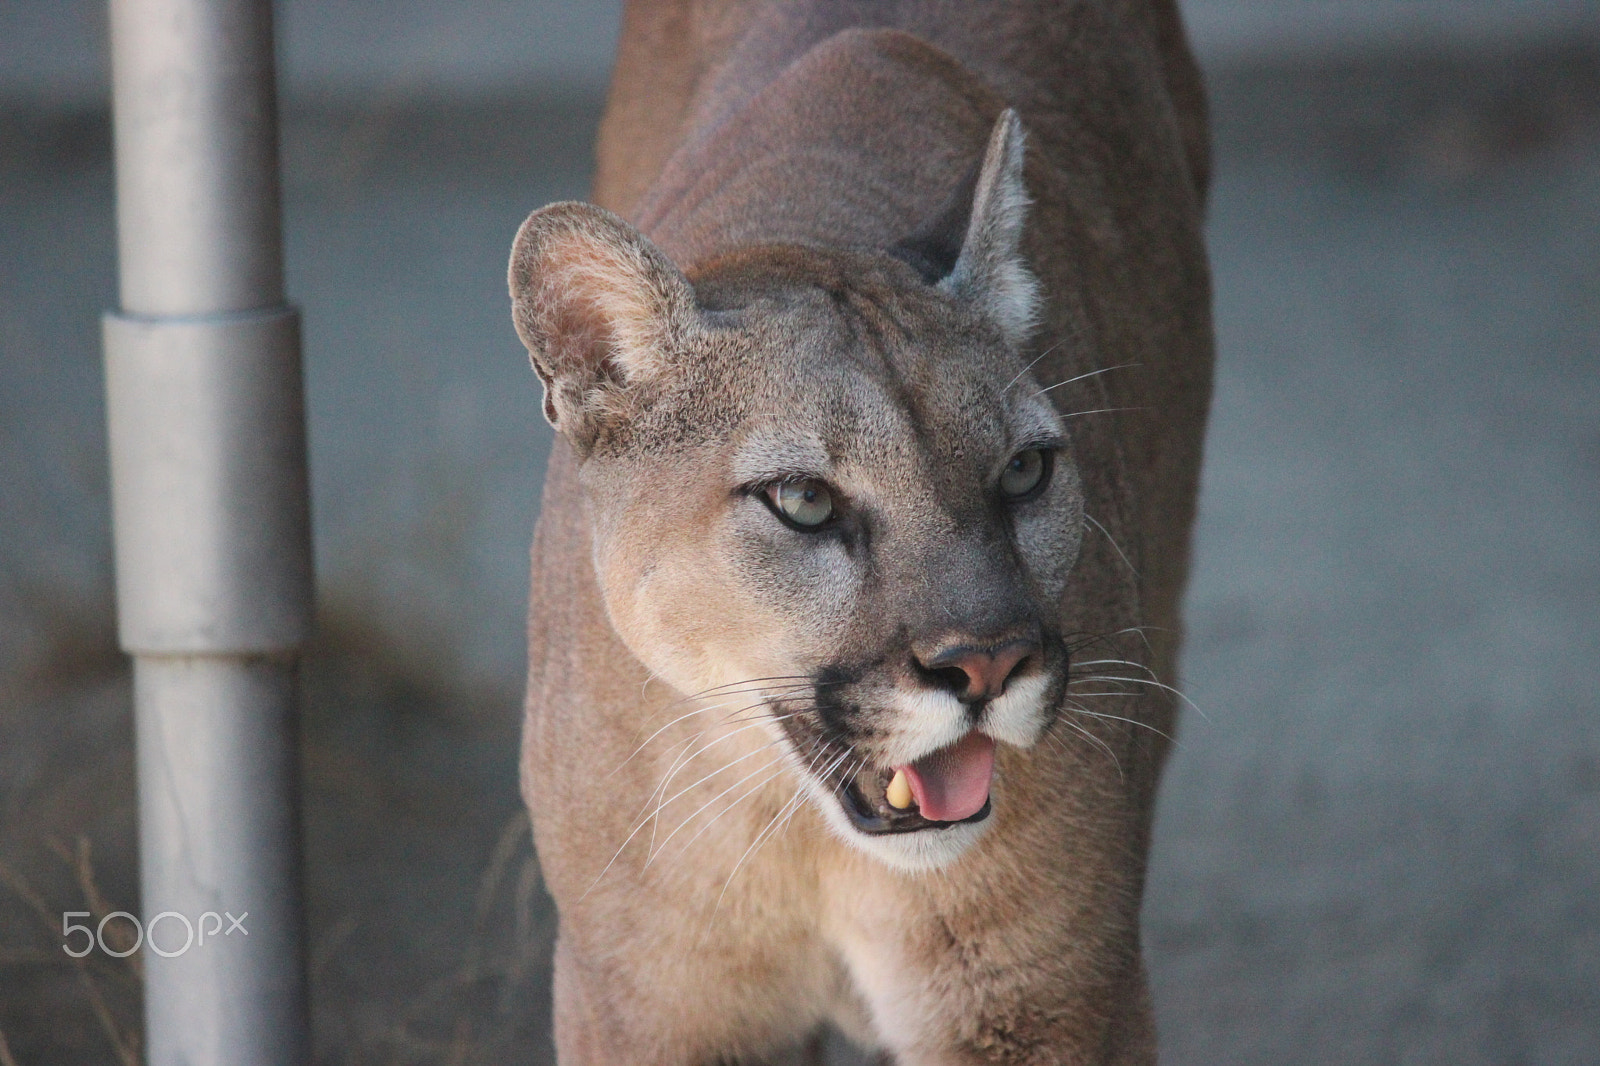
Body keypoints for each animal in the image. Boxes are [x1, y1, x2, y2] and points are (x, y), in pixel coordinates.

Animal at [507, 2, 1212, 1062]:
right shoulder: (646, 1008)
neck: (800, 838)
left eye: (1023, 471)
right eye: (804, 500)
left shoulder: (1053, 1000)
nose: (990, 665)